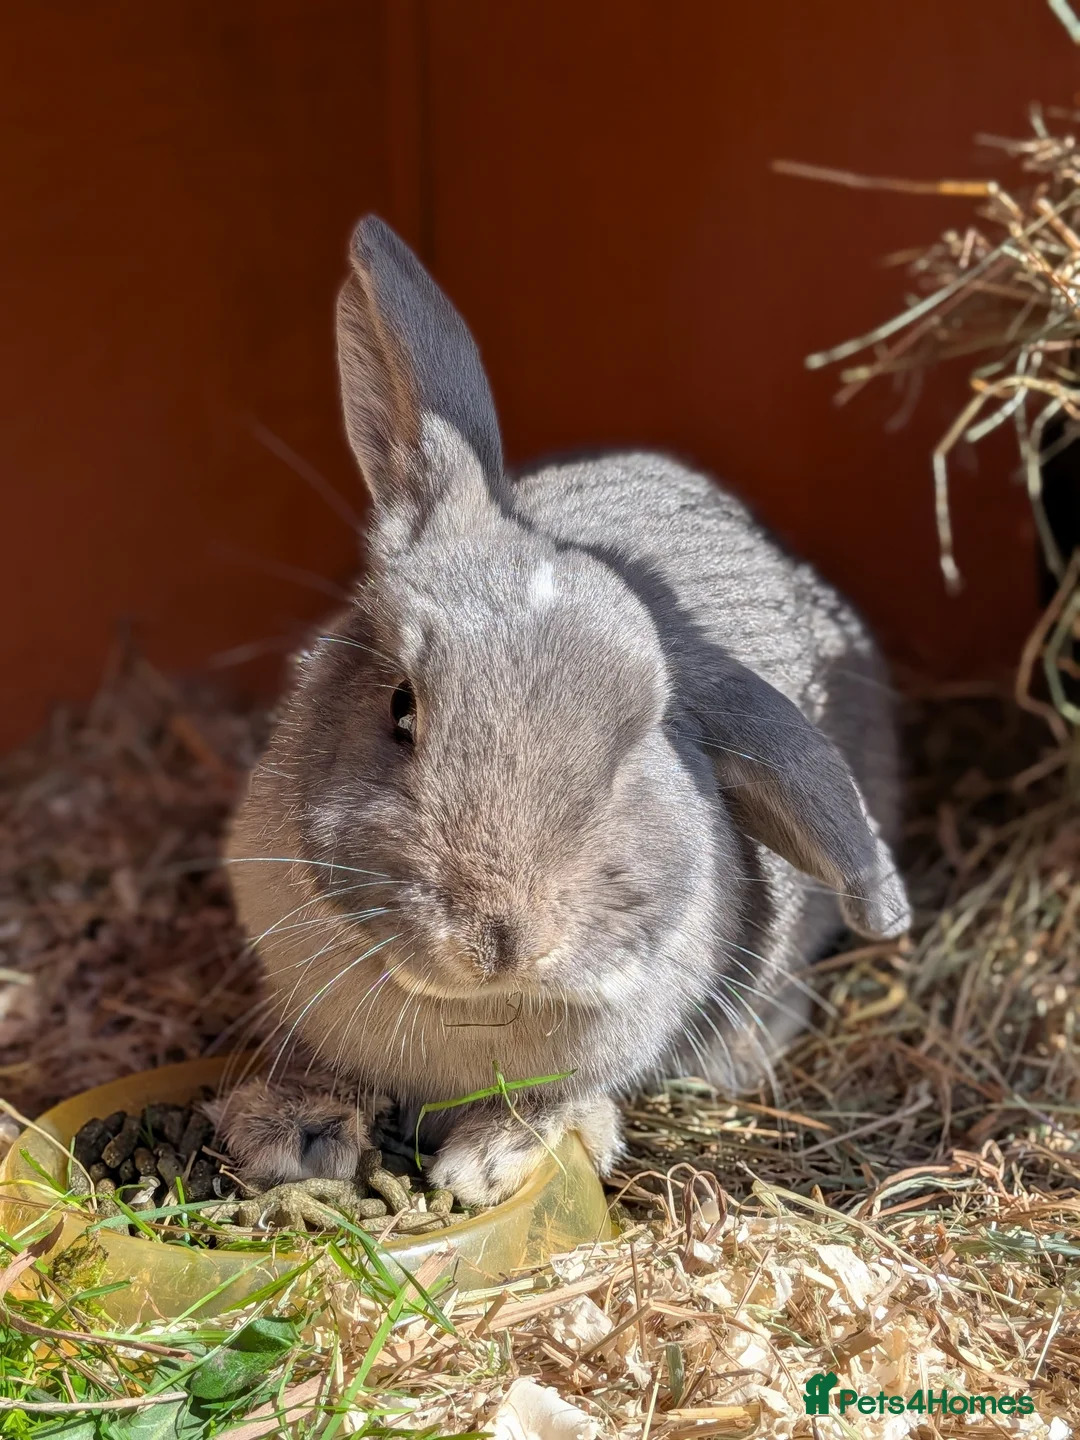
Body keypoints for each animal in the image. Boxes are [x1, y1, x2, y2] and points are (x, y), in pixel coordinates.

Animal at [223, 215, 910, 1206]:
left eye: (637, 745)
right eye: (401, 708)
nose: (501, 940)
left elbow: (566, 1098)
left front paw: (492, 1161)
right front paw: (288, 1128)